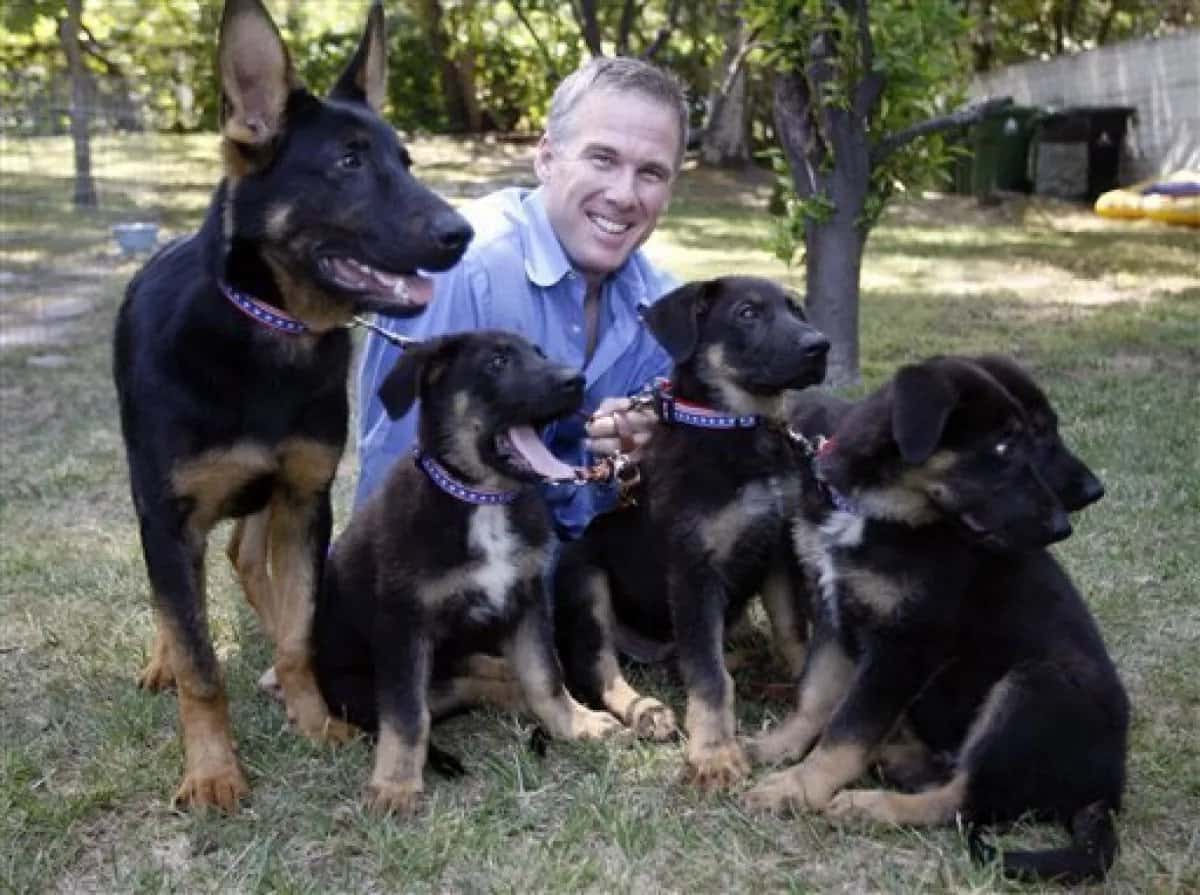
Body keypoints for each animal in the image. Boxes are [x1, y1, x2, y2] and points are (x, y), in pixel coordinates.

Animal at [110, 0, 470, 811]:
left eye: (406, 161)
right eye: (347, 163)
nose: (460, 234)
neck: (271, 329)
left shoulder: (306, 498)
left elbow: (302, 631)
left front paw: (314, 720)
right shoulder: (169, 516)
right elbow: (201, 662)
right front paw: (213, 770)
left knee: (250, 563)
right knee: (182, 596)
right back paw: (161, 658)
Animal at [314, 328, 624, 815]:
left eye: (539, 354)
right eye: (497, 362)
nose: (576, 381)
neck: (483, 500)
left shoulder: (527, 597)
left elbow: (545, 675)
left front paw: (575, 723)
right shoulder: (403, 624)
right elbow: (407, 715)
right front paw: (396, 785)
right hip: (360, 687)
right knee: (447, 693)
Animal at [549, 275, 825, 782]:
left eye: (797, 310)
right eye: (747, 313)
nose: (820, 346)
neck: (739, 427)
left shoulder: (777, 552)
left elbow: (792, 631)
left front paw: (804, 685)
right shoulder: (695, 570)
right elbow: (710, 676)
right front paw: (714, 754)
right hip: (584, 580)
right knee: (600, 666)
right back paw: (646, 710)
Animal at [744, 357, 1128, 887]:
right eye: (1004, 448)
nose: (1062, 527)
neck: (872, 512)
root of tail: (1107, 792)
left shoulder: (904, 645)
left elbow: (848, 728)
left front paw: (797, 789)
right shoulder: (834, 613)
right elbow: (816, 697)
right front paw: (777, 747)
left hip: (1035, 687)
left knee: (964, 801)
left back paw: (871, 806)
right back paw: (895, 760)